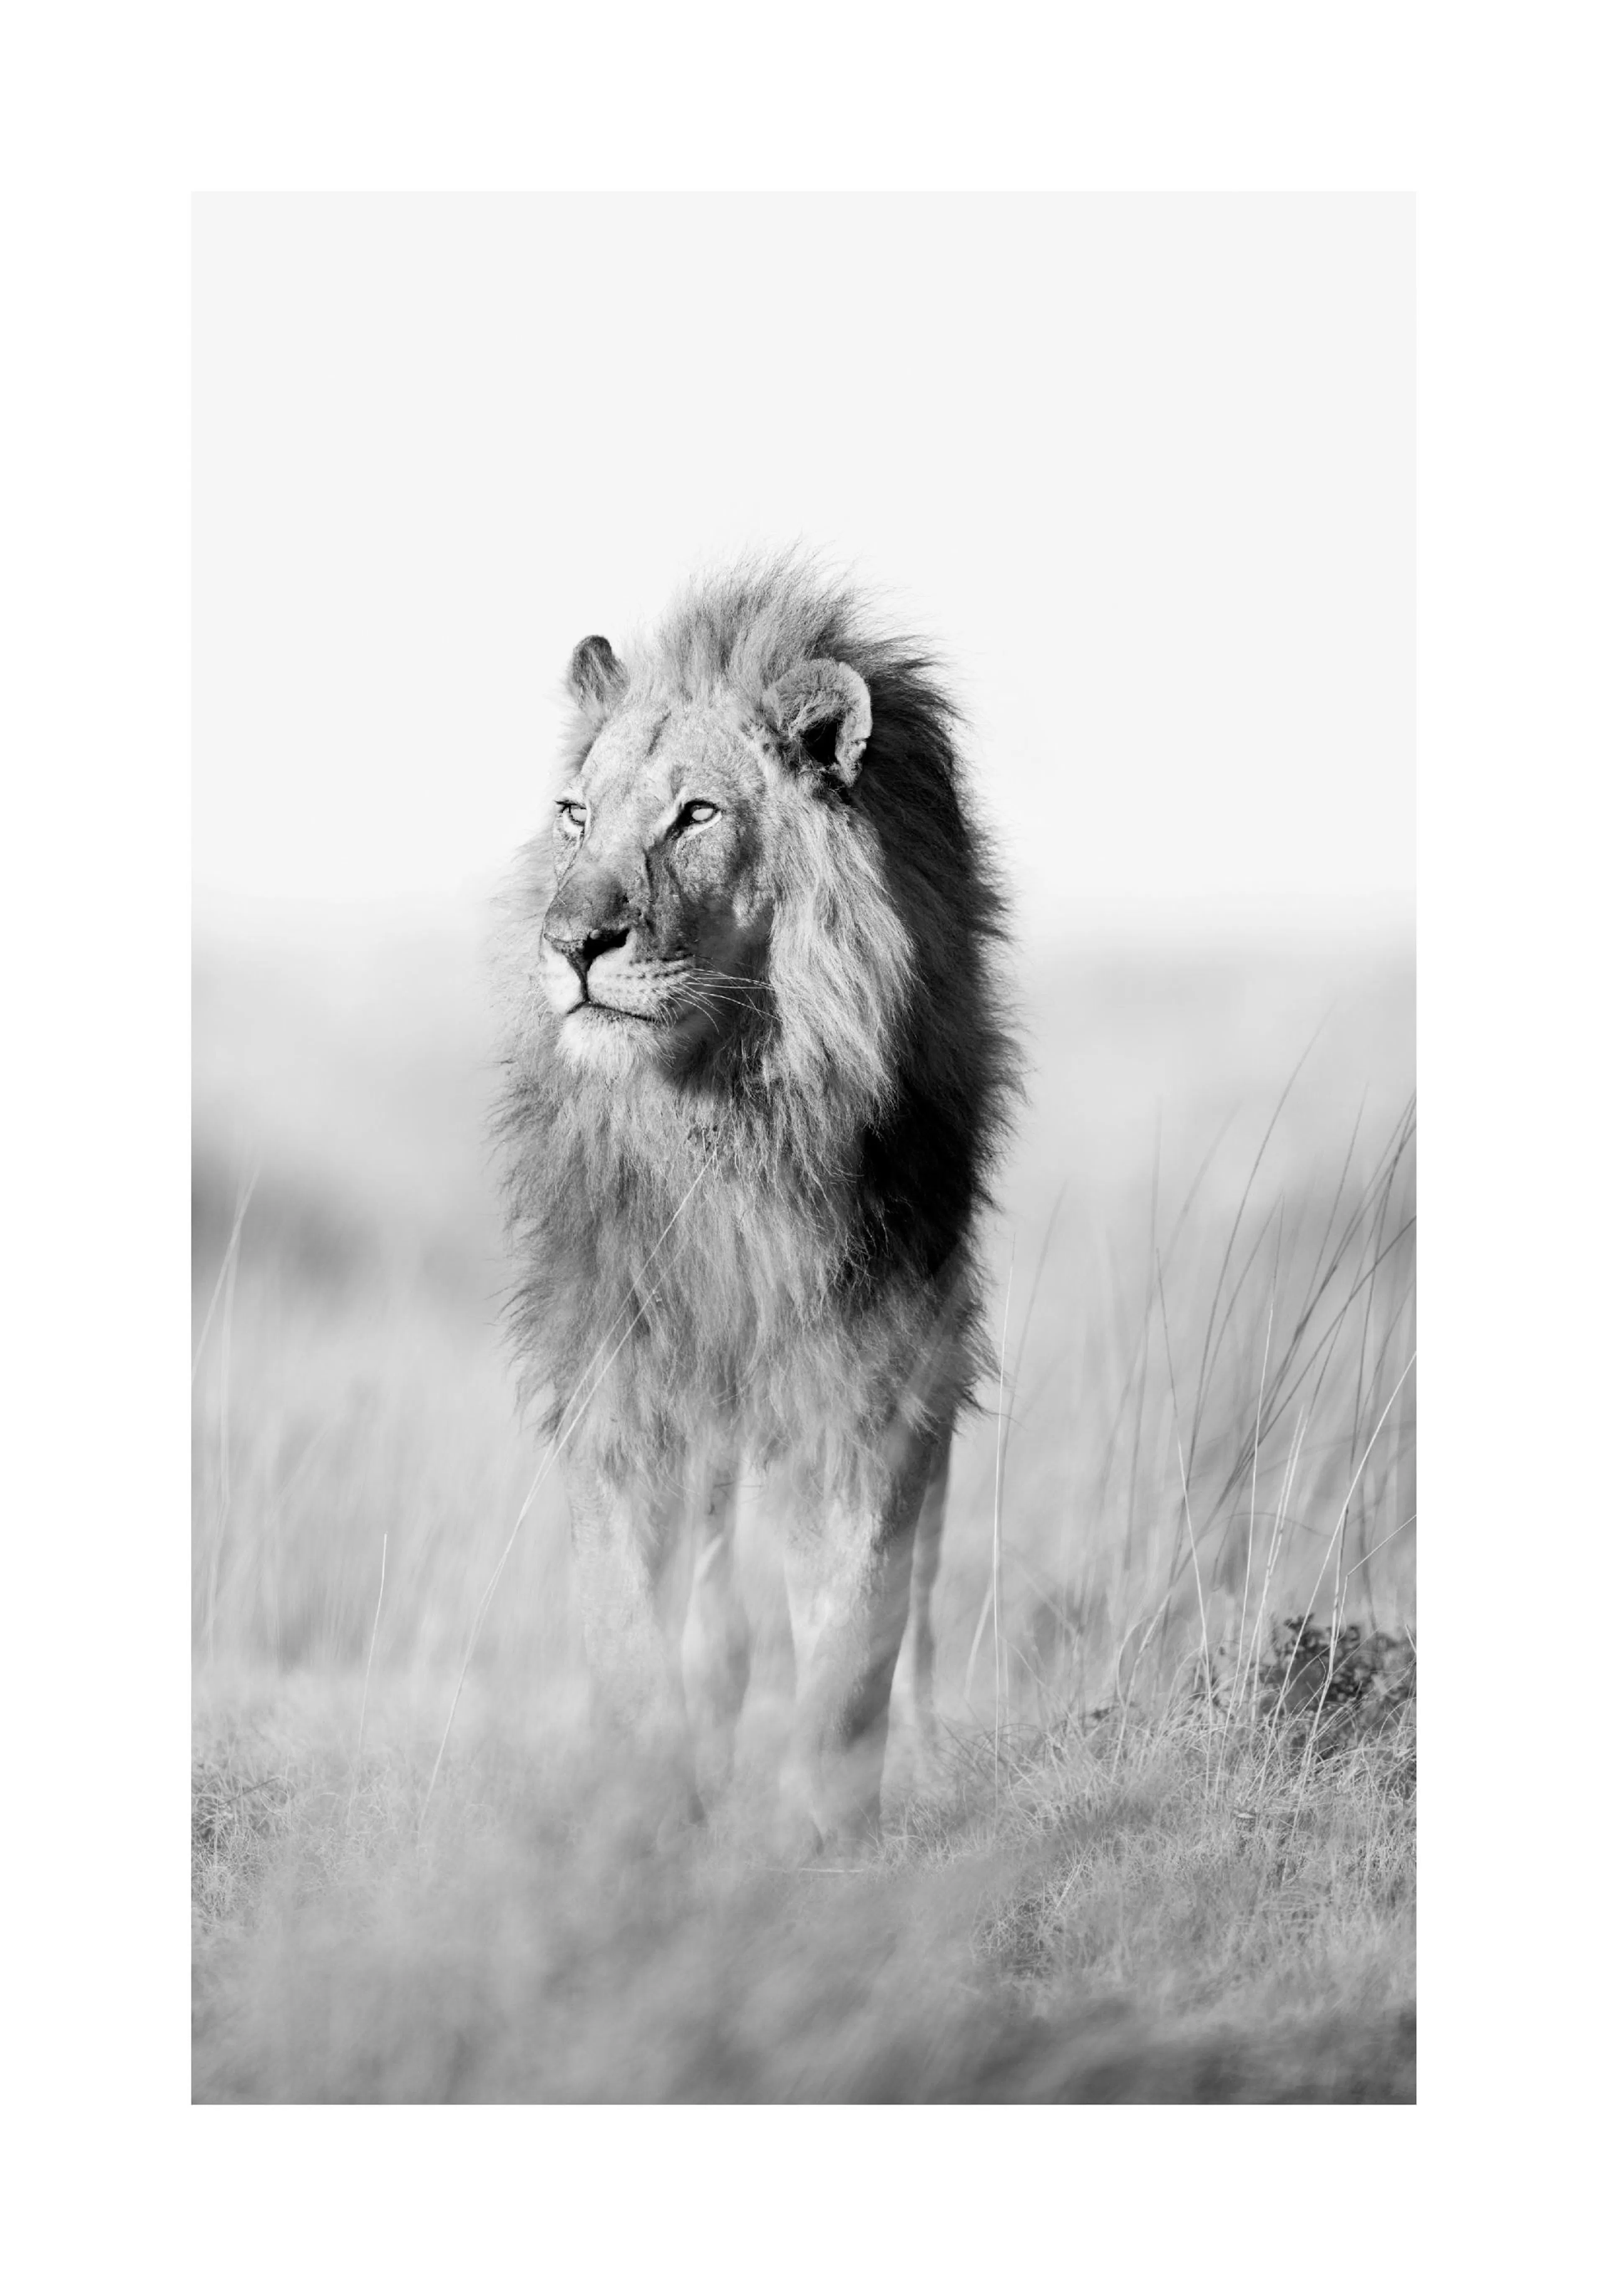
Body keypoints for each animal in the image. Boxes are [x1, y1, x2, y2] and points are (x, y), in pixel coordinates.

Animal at [495, 556, 1016, 1851]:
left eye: (696, 815)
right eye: (577, 815)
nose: (573, 941)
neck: (722, 1112)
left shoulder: (877, 1370)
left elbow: (855, 1632)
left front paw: (825, 1829)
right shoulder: (618, 1374)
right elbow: (632, 1629)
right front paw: (648, 1819)